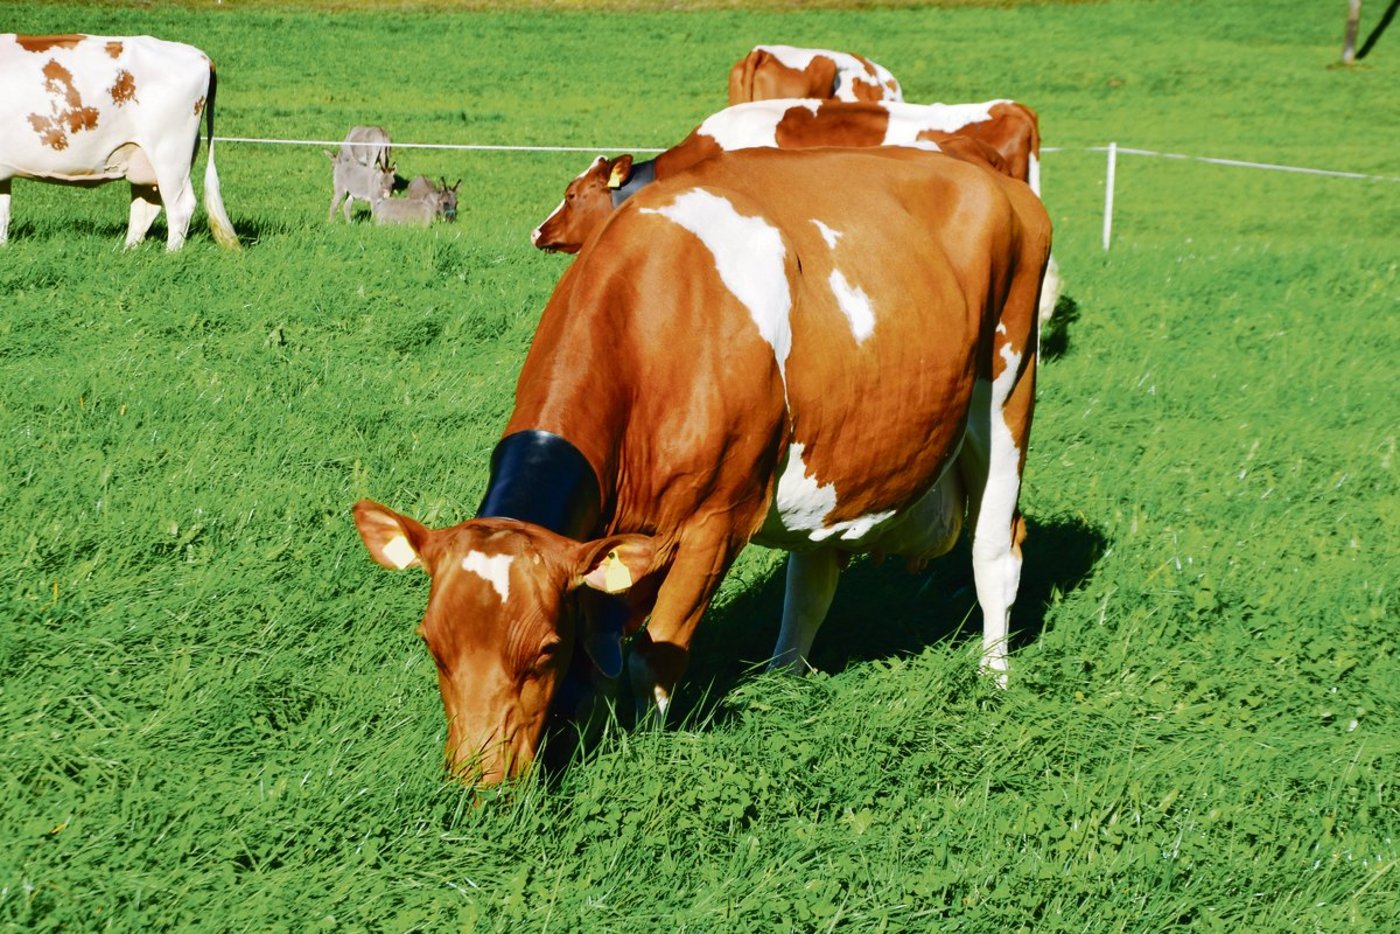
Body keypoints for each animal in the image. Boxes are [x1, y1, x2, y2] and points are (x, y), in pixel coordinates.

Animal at [0, 33, 237, 250]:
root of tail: (200, 55)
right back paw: (127, 252)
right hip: (145, 159)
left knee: (179, 206)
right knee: (146, 207)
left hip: (170, 153)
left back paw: (171, 255)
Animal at [354, 145, 1051, 784]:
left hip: (1008, 391)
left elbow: (655, 652)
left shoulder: (717, 518)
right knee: (815, 572)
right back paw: (781, 676)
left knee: (997, 550)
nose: (480, 784)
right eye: (431, 644)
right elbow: (602, 658)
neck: (652, 322)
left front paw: (643, 753)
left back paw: (993, 678)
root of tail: (991, 174)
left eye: (544, 650)